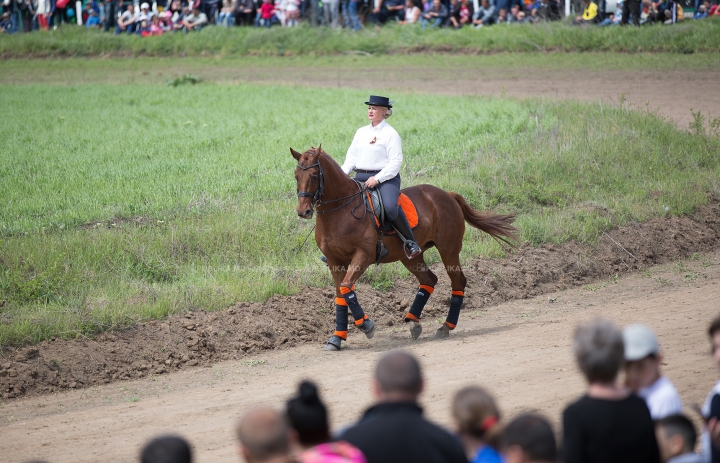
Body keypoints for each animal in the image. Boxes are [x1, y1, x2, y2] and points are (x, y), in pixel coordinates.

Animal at [292, 147, 516, 350]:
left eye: (314, 176)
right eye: (296, 175)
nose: (303, 211)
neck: (341, 211)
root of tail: (447, 194)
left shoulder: (363, 256)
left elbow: (347, 287)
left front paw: (366, 325)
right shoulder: (334, 261)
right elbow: (340, 295)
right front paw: (336, 338)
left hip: (449, 250)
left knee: (458, 281)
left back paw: (445, 327)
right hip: (411, 257)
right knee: (429, 279)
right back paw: (414, 322)